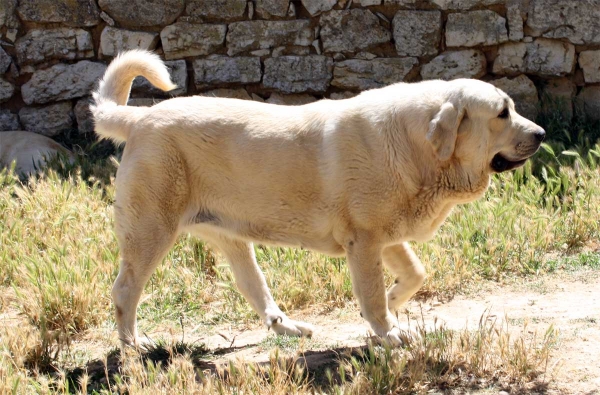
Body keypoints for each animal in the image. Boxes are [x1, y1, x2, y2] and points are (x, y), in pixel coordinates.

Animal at [91, 50, 548, 350]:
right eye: (503, 113)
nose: (542, 134)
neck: (418, 147)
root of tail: (140, 118)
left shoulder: (385, 238)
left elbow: (415, 273)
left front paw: (392, 307)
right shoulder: (364, 241)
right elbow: (372, 293)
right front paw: (388, 330)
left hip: (231, 237)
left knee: (253, 287)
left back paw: (289, 328)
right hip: (151, 233)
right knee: (124, 291)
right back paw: (133, 347)